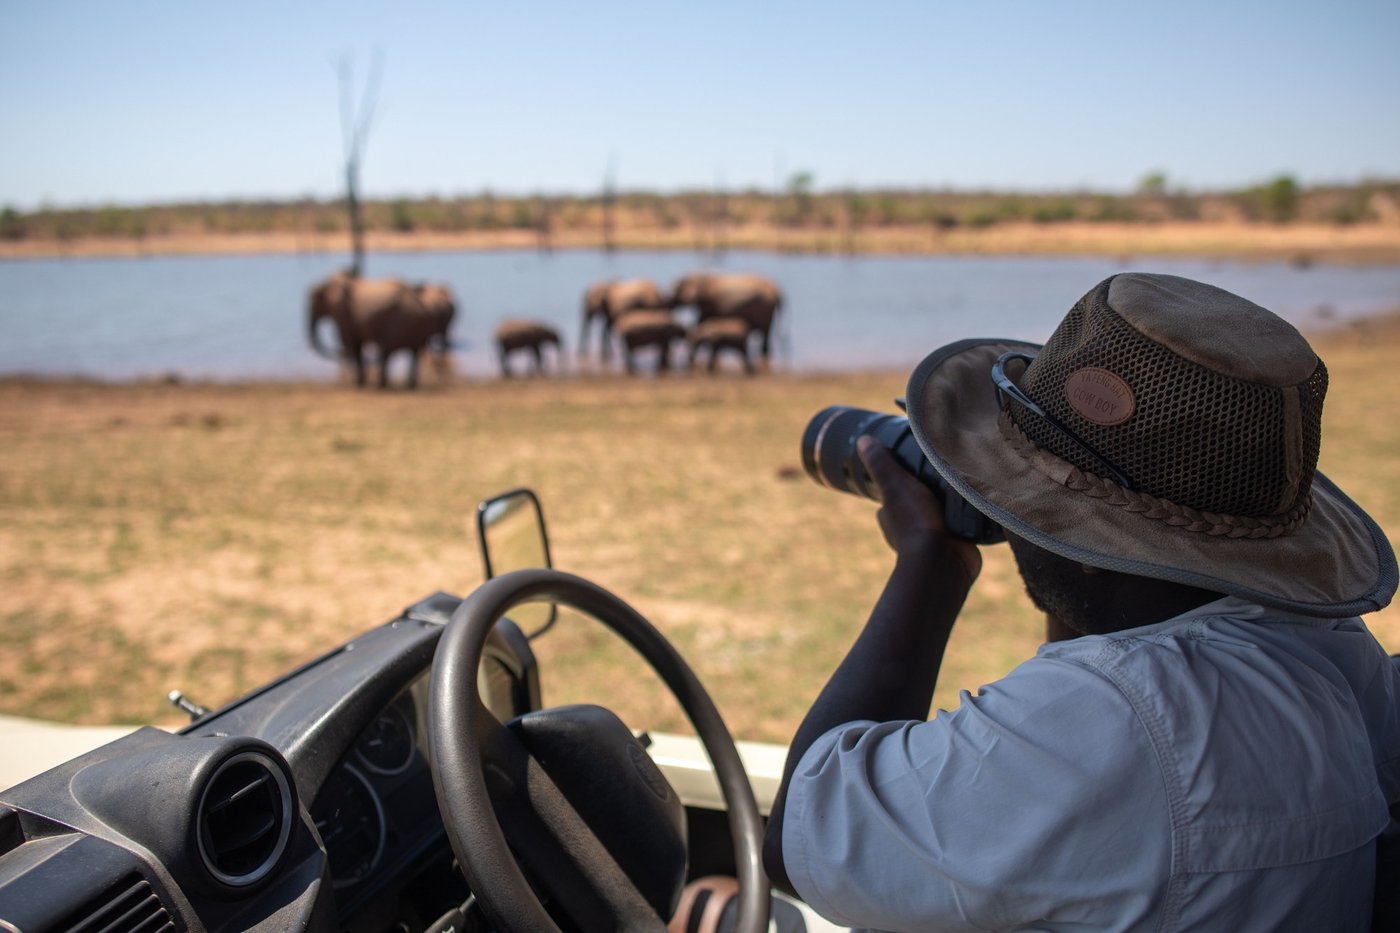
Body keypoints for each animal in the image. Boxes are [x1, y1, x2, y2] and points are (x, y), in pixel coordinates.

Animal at [308, 272, 456, 389]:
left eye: (317, 298)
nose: (337, 353)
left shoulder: (343, 314)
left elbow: (353, 345)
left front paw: (359, 383)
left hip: (398, 326)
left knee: (386, 352)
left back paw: (382, 385)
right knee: (414, 353)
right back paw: (410, 385)